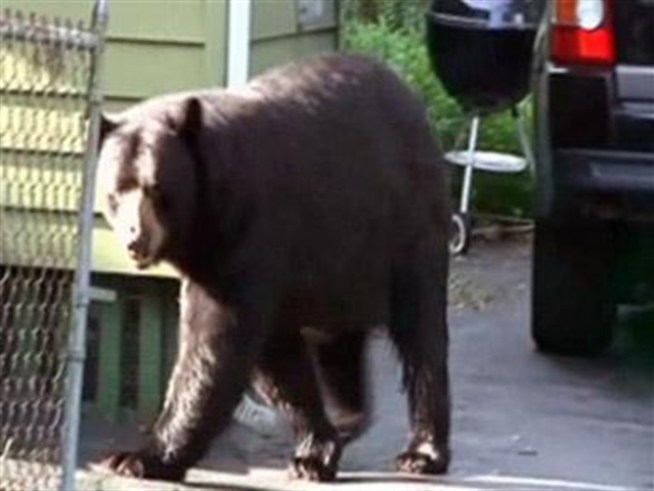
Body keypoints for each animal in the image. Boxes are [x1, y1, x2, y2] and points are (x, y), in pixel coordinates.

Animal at [94, 53, 451, 482]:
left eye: (157, 189)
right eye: (115, 192)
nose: (136, 239)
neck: (207, 214)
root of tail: (414, 102)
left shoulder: (249, 235)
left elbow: (216, 344)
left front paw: (137, 457)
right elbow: (277, 359)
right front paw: (315, 450)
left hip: (406, 227)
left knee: (422, 335)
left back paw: (423, 452)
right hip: (344, 263)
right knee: (337, 343)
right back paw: (348, 417)